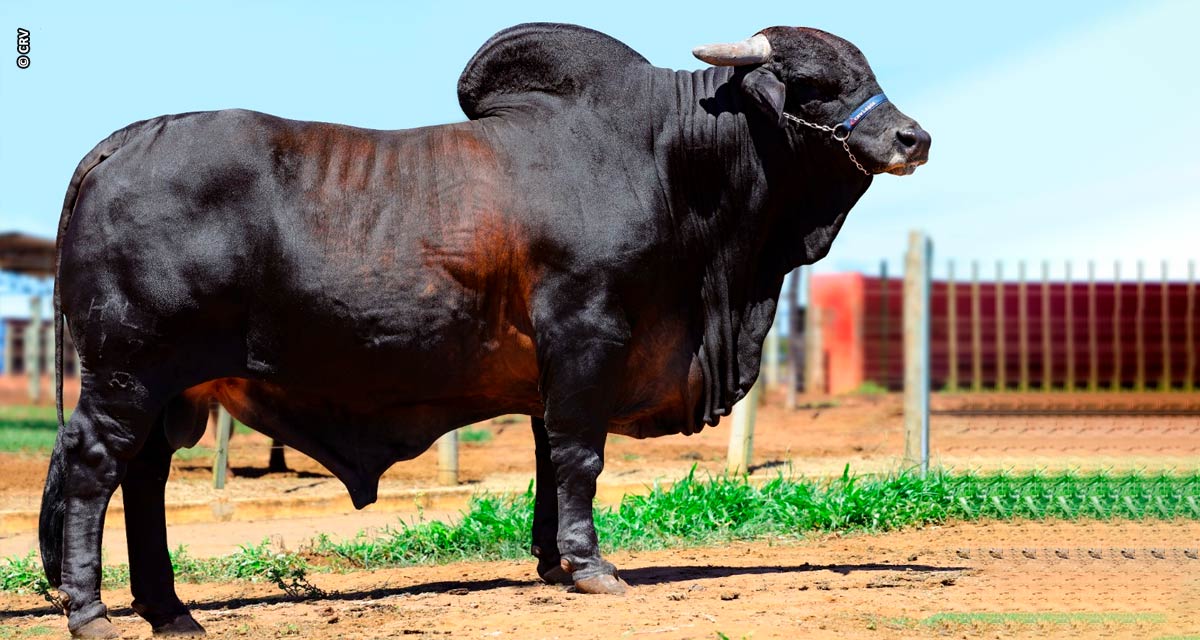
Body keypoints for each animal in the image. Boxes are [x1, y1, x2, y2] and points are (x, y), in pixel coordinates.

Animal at [35, 22, 926, 633]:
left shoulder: (550, 372)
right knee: (92, 469)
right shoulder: (588, 336)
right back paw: (93, 612)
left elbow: (546, 460)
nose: (912, 137)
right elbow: (580, 457)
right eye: (814, 81)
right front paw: (592, 565)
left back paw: (169, 610)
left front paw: (551, 561)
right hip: (128, 373)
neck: (669, 161)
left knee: (143, 478)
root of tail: (122, 143)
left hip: (169, 388)